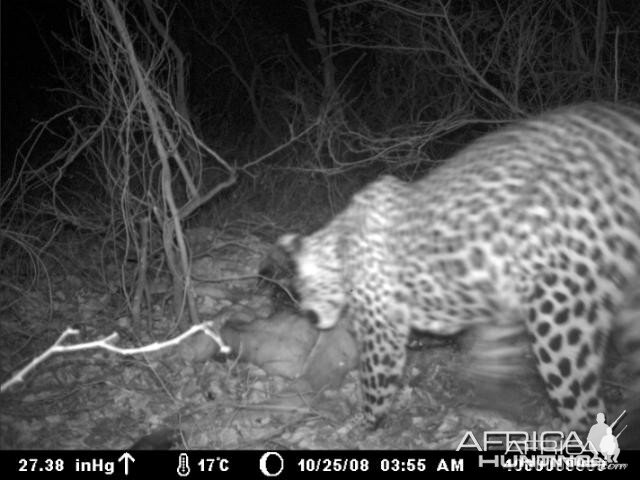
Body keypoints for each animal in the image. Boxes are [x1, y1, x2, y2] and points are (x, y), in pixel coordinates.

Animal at [276, 102, 640, 438]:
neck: (341, 245)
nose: (309, 316)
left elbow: (375, 384)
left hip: (558, 309)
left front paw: (360, 424)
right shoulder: (497, 303)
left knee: (580, 397)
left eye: (302, 287)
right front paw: (494, 402)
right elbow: (491, 354)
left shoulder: (383, 331)